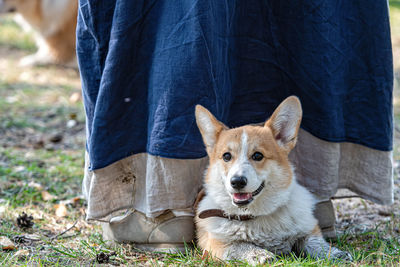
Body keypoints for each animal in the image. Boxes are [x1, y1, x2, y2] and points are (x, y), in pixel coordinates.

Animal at [195, 97, 352, 266]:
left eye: (258, 155)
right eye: (226, 156)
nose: (237, 182)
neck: (255, 215)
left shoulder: (309, 230)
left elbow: (315, 243)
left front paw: (335, 254)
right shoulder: (217, 246)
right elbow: (241, 245)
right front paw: (261, 255)